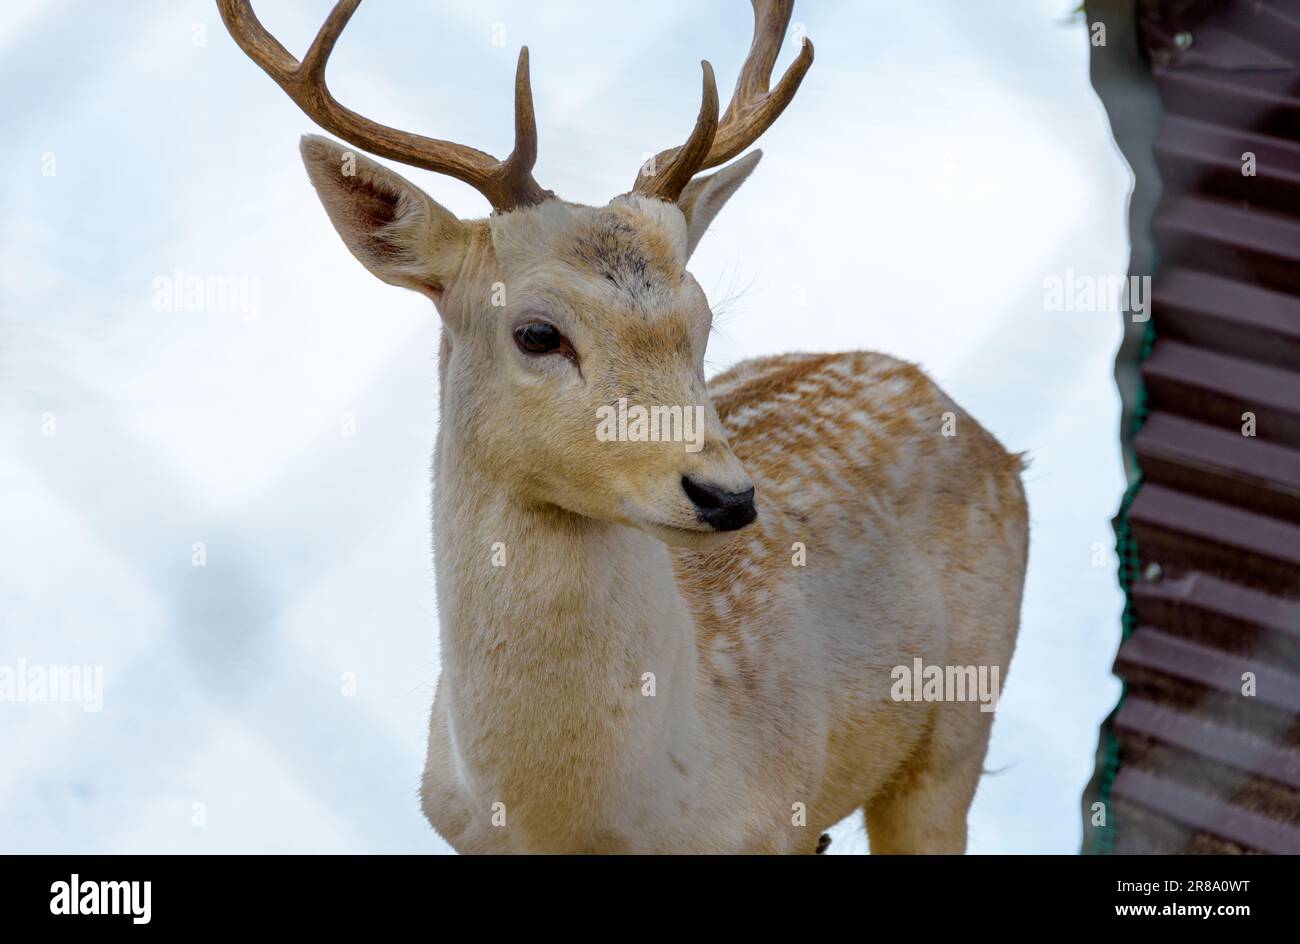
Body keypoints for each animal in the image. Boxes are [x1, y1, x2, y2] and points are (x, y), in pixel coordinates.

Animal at [218, 1, 1029, 858]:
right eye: (537, 333)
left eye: (703, 320)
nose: (729, 496)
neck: (575, 820)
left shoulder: (773, 818)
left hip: (957, 730)